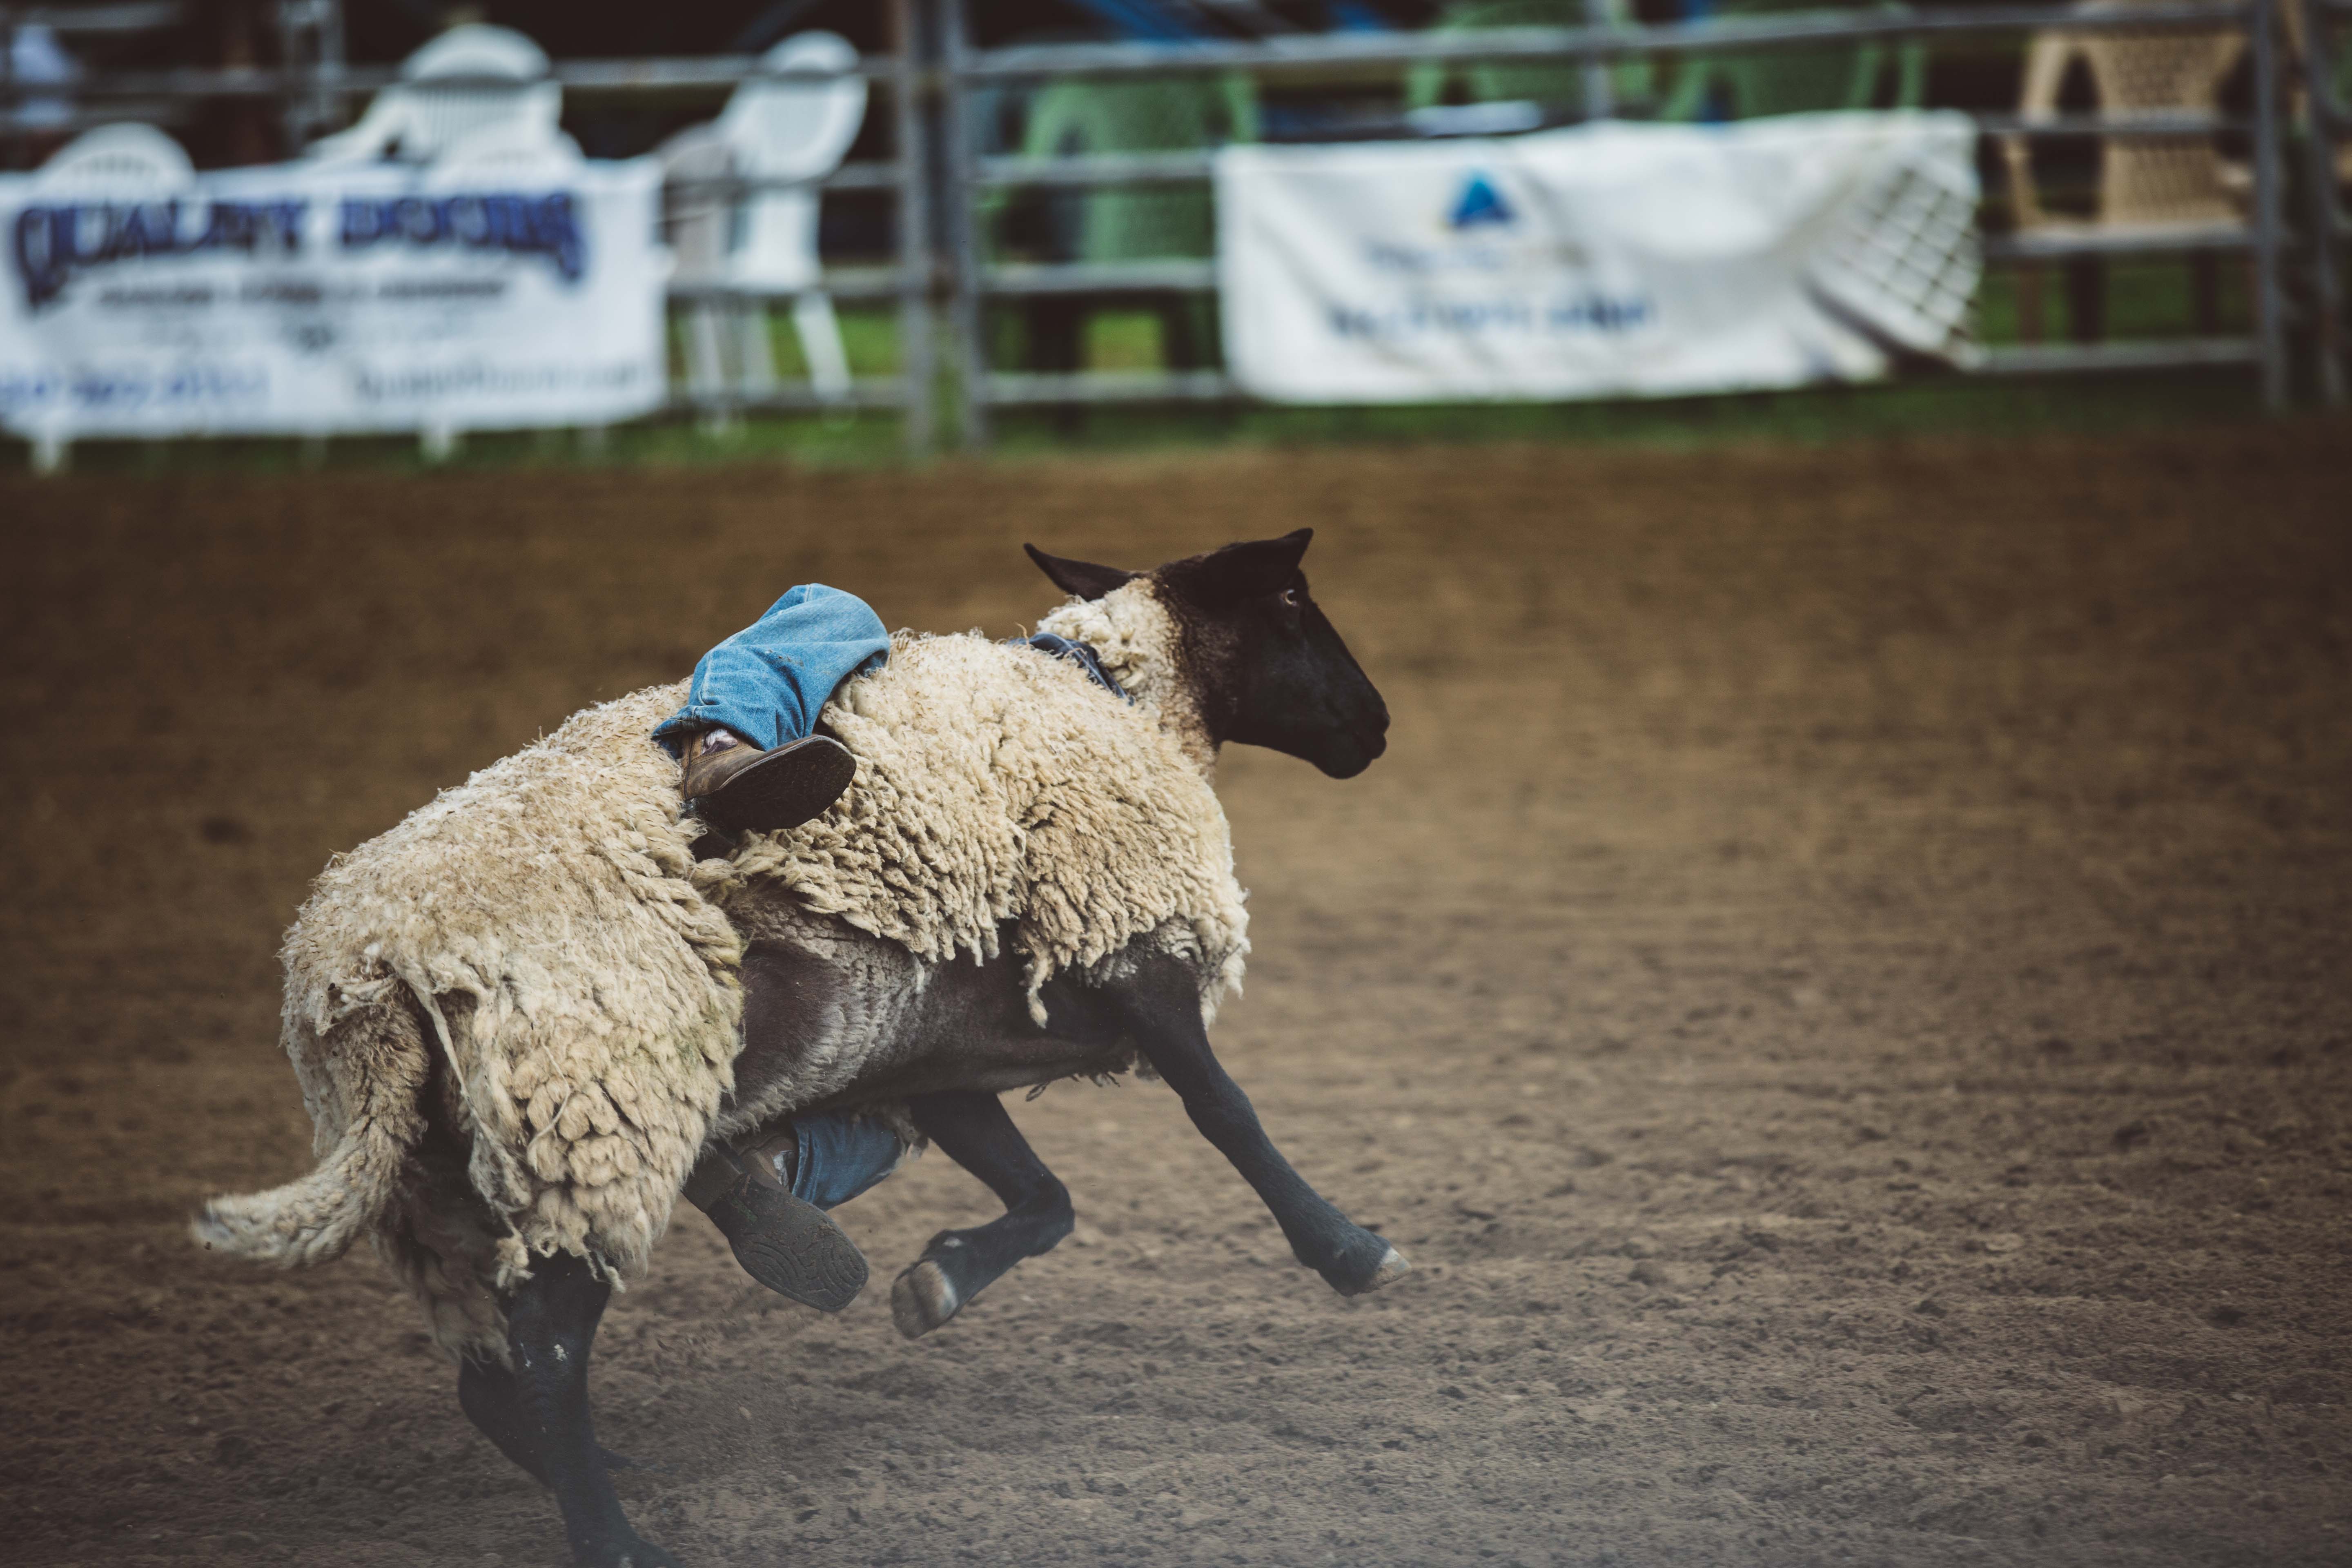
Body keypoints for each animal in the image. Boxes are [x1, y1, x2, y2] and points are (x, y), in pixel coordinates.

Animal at [195, 529, 1401, 1568]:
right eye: (1292, 598)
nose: (1378, 725)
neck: (1114, 696)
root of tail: (362, 964)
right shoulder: (1127, 944)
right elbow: (1226, 1114)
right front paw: (1349, 1250)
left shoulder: (941, 1051)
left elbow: (1046, 1198)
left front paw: (936, 1285)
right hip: (596, 1108)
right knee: (544, 1347)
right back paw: (620, 1541)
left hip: (457, 1177)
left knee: (496, 1376)